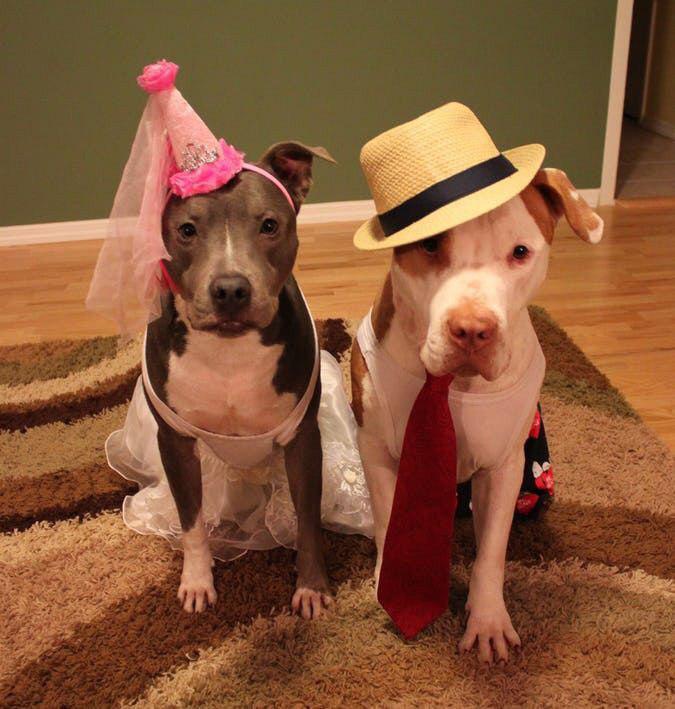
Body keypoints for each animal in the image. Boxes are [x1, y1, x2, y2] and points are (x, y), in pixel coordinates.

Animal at [352, 105, 604, 664]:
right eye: (428, 246)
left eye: (520, 251)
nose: (472, 329)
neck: (450, 386)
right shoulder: (377, 451)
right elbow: (388, 519)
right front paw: (388, 583)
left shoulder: (504, 466)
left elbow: (491, 550)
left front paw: (487, 620)